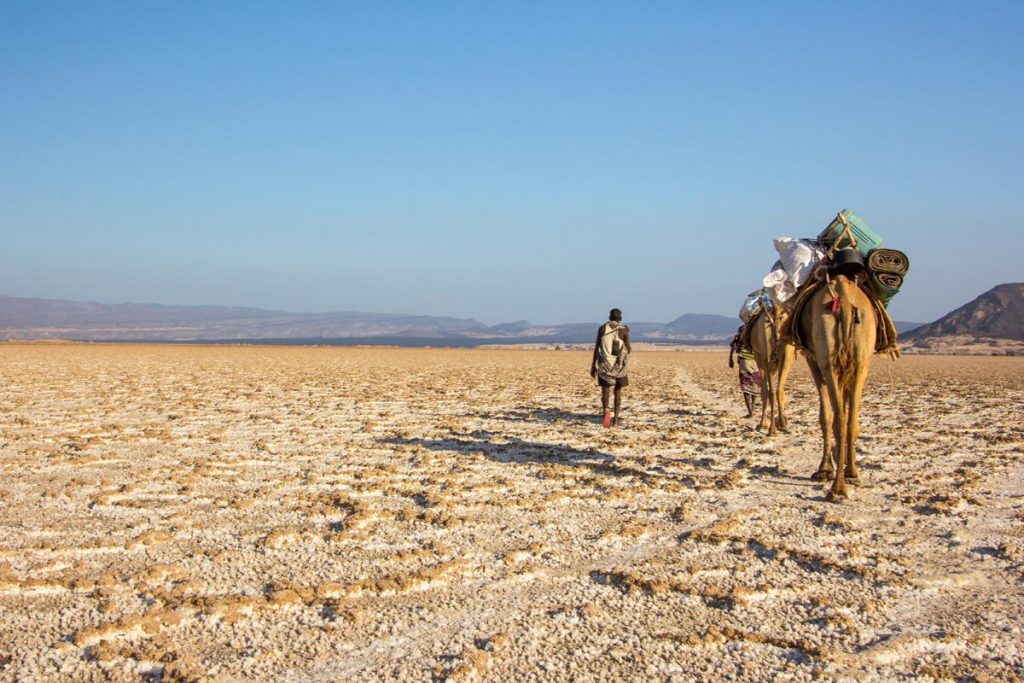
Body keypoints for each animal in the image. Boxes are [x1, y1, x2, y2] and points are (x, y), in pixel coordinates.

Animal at [749, 307, 794, 436]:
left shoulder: (759, 357)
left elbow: (764, 391)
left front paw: (762, 424)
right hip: (787, 356)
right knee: (779, 390)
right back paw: (782, 424)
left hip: (765, 354)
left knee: (771, 392)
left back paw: (771, 429)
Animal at [794, 272, 876, 501]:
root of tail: (845, 298)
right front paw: (844, 466)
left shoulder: (813, 360)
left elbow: (825, 416)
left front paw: (824, 469)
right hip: (860, 361)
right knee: (850, 419)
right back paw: (850, 476)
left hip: (827, 359)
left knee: (838, 417)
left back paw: (837, 487)